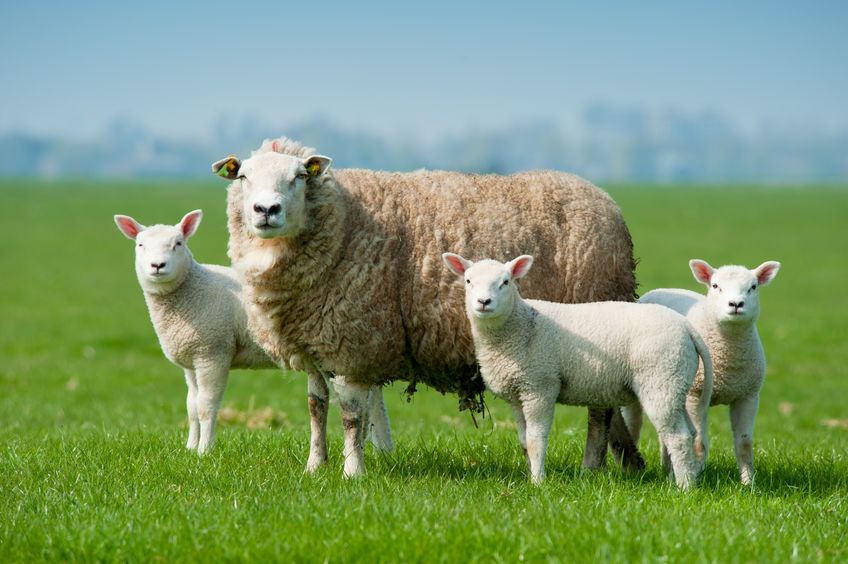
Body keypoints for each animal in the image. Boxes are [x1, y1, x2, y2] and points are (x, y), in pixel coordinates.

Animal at [112, 209, 398, 456]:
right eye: (140, 245)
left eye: (178, 244)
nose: (157, 265)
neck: (190, 290)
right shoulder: (191, 359)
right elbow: (192, 405)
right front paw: (191, 447)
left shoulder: (213, 352)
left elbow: (206, 406)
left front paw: (205, 451)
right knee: (375, 396)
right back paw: (382, 447)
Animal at [212, 138, 644, 476]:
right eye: (243, 177)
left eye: (300, 177)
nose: (266, 210)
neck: (343, 222)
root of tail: (604, 199)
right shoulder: (316, 344)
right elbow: (316, 408)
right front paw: (315, 467)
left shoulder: (354, 342)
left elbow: (352, 416)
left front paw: (352, 473)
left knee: (600, 411)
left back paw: (591, 467)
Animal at [444, 252, 716, 490]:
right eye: (468, 281)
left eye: (505, 282)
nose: (483, 302)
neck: (518, 325)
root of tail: (686, 328)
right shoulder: (516, 394)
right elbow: (523, 441)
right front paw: (530, 474)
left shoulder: (540, 386)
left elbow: (535, 439)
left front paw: (538, 482)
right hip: (675, 383)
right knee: (689, 432)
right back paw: (678, 478)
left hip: (661, 379)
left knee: (677, 436)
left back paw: (684, 487)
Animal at [624, 260, 780, 484]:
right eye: (715, 286)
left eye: (753, 287)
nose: (736, 304)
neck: (728, 359)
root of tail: (660, 289)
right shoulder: (695, 396)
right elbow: (699, 442)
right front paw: (696, 476)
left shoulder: (748, 395)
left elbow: (744, 444)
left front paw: (749, 484)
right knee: (634, 424)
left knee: (665, 435)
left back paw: (667, 470)